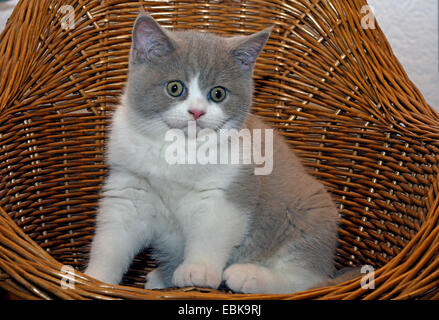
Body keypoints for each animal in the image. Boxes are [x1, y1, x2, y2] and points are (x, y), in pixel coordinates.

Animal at [85, 11, 340, 292]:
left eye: (218, 93)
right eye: (175, 88)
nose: (197, 112)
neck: (178, 148)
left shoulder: (229, 189)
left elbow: (212, 234)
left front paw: (198, 270)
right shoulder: (129, 187)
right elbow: (112, 240)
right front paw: (93, 278)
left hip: (310, 212)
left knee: (306, 280)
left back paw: (247, 275)